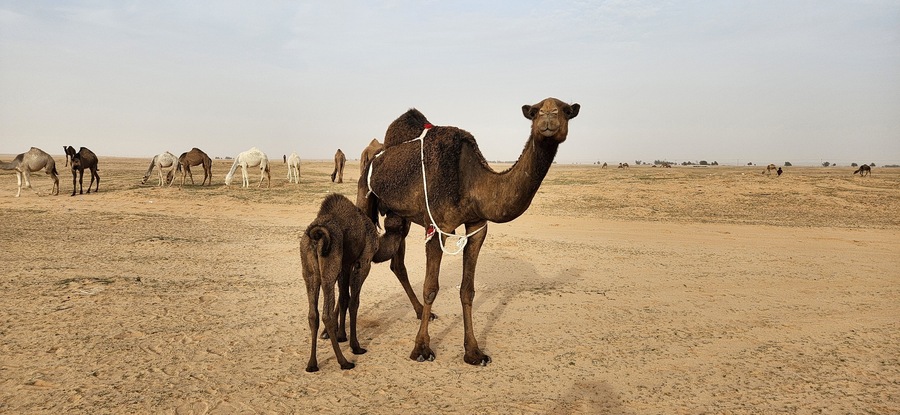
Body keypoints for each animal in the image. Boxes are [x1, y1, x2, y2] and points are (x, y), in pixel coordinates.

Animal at [360, 97, 580, 365]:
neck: (472, 182)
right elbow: (430, 288)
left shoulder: (476, 226)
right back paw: (337, 334)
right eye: (536, 111)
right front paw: (421, 348)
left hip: (401, 216)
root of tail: (377, 153)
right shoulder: (438, 227)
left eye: (566, 111)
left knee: (396, 262)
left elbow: (468, 290)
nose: (549, 118)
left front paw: (474, 352)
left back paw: (420, 312)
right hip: (364, 190)